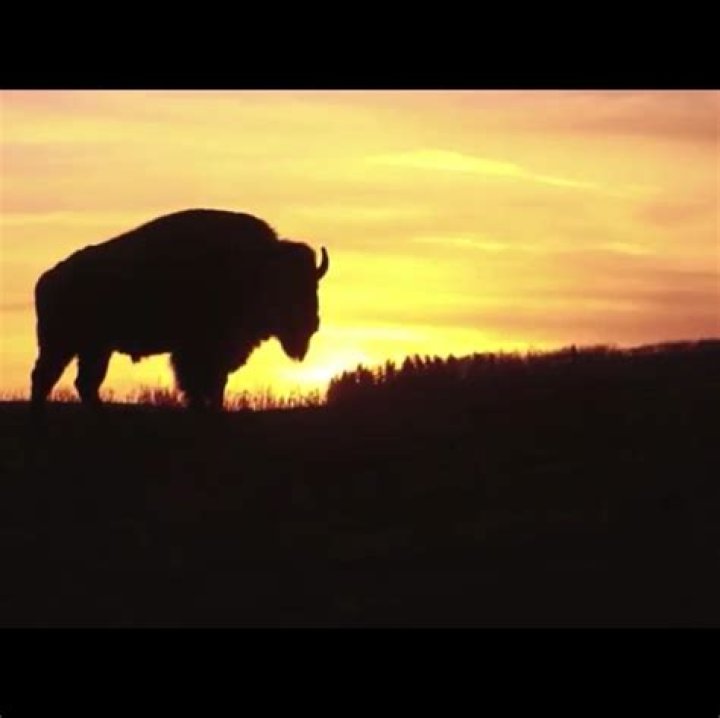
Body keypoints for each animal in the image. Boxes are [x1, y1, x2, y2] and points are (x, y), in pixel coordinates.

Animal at [30, 209, 329, 410]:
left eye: (313, 285)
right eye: (286, 287)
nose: (312, 324)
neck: (255, 268)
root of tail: (47, 279)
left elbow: (216, 383)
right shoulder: (195, 351)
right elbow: (199, 384)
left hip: (93, 348)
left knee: (82, 383)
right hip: (62, 345)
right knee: (46, 378)